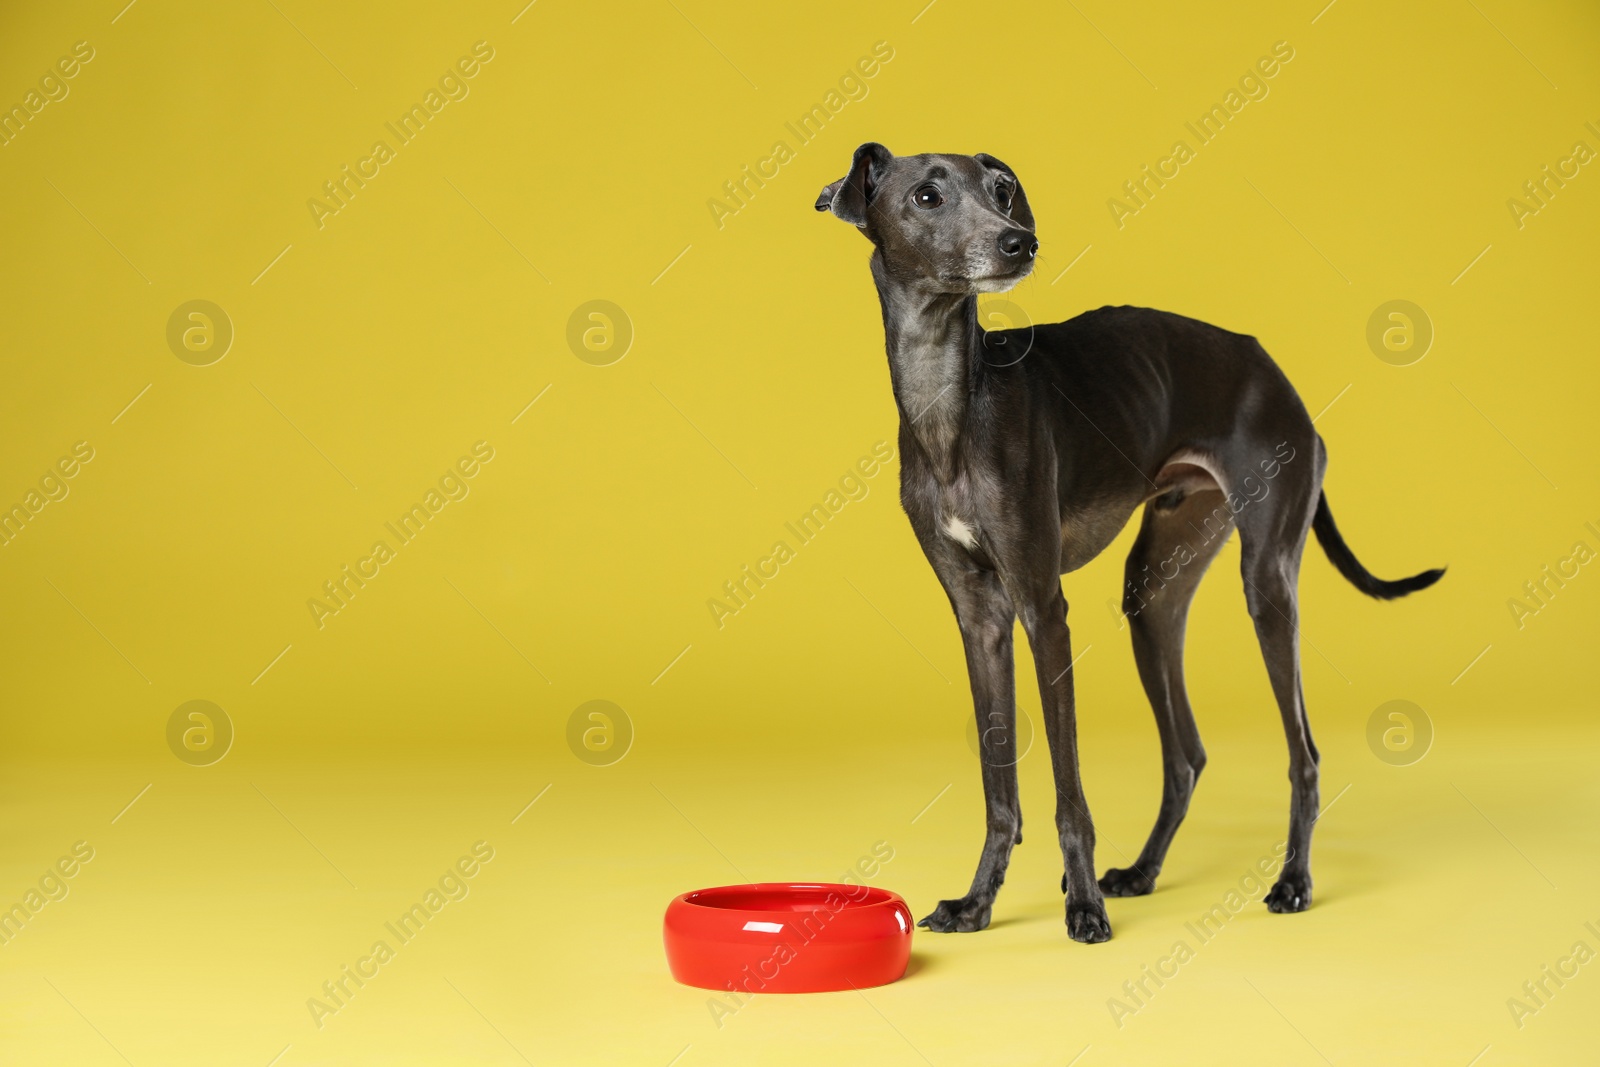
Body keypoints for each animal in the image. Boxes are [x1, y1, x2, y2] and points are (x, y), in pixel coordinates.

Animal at [806, 143, 1446, 940]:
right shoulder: (979, 618)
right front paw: (978, 901)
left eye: (1000, 192)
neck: (951, 407)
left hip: (1267, 579)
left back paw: (1292, 880)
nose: (1019, 243)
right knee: (1187, 754)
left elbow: (1068, 788)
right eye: (927, 195)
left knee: (1304, 753)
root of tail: (1271, 368)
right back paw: (1143, 870)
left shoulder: (1042, 608)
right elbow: (997, 783)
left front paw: (1081, 904)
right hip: (1155, 587)